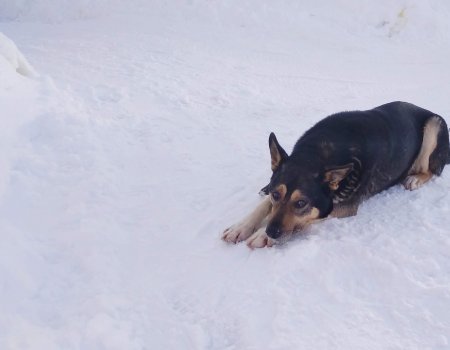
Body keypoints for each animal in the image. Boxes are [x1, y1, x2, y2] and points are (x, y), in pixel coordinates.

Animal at [222, 101, 450, 249]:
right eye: (276, 195)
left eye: (301, 203)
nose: (271, 232)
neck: (317, 152)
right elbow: (264, 205)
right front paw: (241, 227)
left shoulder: (345, 207)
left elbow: (311, 217)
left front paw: (262, 235)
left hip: (434, 125)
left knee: (431, 170)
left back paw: (415, 178)